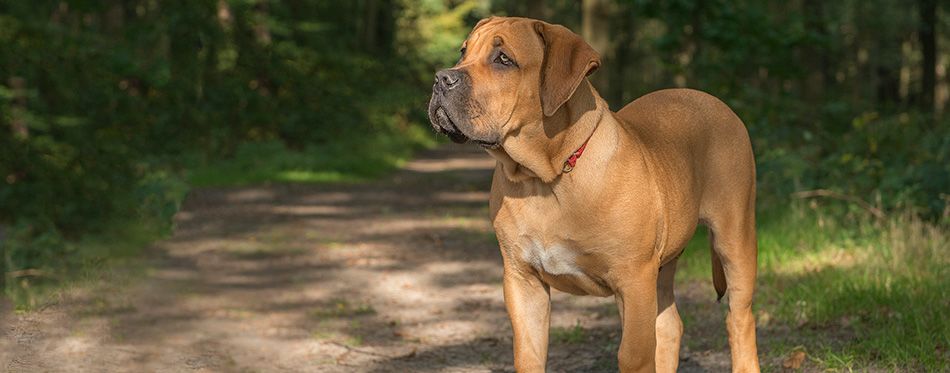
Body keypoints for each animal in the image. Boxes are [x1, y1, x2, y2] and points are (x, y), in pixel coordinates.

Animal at [428, 17, 764, 372]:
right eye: (463, 52)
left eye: (503, 59)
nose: (441, 78)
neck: (544, 178)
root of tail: (714, 101)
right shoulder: (522, 280)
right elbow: (528, 353)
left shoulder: (633, 280)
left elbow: (633, 355)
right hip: (664, 264)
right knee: (670, 324)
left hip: (734, 238)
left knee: (739, 318)